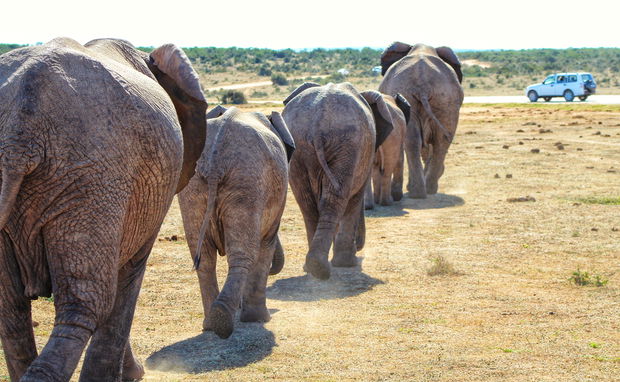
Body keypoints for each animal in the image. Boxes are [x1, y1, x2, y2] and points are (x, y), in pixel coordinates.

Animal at [179, 103, 296, 338]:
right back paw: (225, 320)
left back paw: (211, 323)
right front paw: (259, 319)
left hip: (195, 185)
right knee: (245, 254)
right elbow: (266, 243)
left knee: (204, 257)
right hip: (247, 180)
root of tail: (216, 159)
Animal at [282, 83, 394, 280]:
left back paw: (312, 267)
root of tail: (317, 122)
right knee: (335, 199)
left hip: (301, 148)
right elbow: (355, 198)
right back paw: (325, 268)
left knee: (308, 203)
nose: (359, 246)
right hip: (347, 143)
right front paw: (347, 263)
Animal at [380, 41, 462, 198]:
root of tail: (423, 85)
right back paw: (426, 190)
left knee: (415, 141)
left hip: (432, 98)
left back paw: (418, 192)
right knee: (439, 141)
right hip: (445, 101)